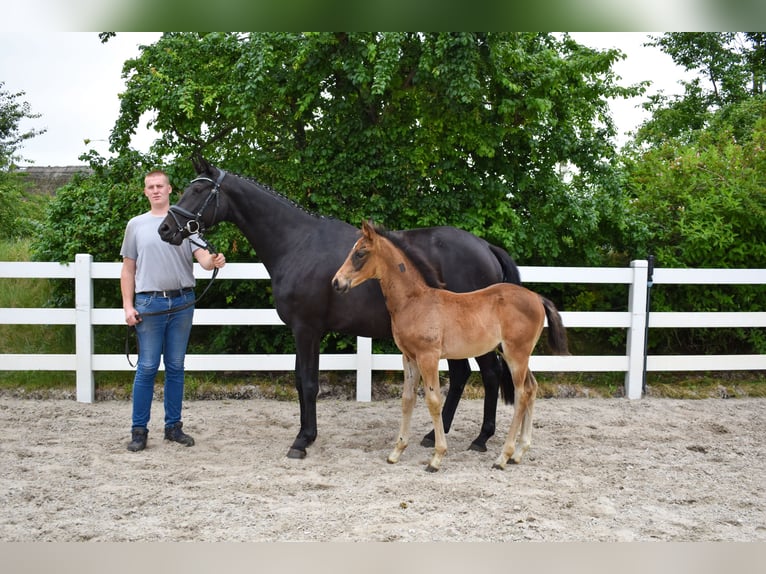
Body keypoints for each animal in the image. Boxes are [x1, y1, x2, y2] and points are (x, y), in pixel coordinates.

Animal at [158, 157, 522, 459]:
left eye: (198, 190)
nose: (165, 228)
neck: (297, 243)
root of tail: (485, 247)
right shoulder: (304, 331)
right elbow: (300, 380)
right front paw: (306, 435)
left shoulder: (307, 329)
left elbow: (308, 382)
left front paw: (302, 441)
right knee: (462, 376)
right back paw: (436, 435)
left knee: (489, 375)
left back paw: (480, 439)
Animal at [332, 221, 569, 471]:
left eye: (360, 253)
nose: (336, 282)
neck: (415, 302)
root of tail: (537, 298)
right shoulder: (409, 357)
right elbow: (407, 400)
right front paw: (396, 452)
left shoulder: (428, 357)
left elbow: (433, 401)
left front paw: (437, 457)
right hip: (514, 354)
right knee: (532, 388)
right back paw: (519, 452)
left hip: (516, 355)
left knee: (521, 394)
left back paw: (503, 456)